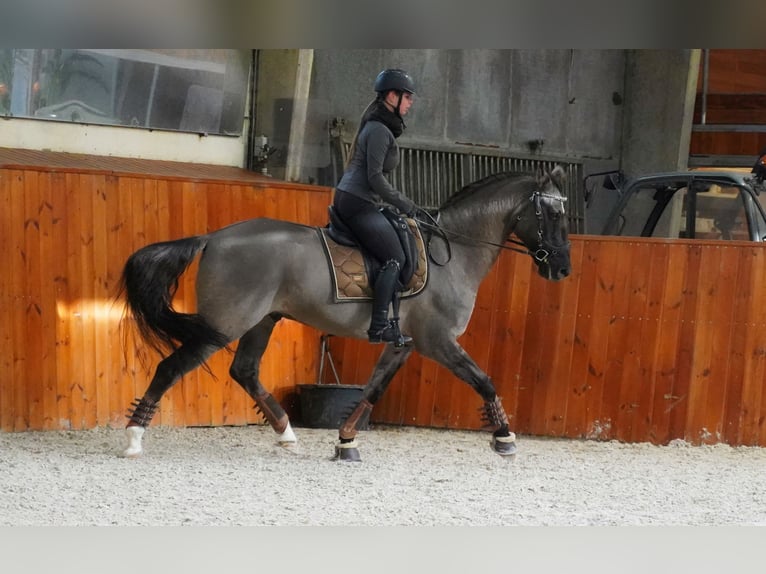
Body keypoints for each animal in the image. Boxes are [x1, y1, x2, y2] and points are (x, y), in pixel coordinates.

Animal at [120, 164, 572, 462]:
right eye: (553, 214)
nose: (563, 268)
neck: (455, 253)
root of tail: (213, 237)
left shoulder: (404, 343)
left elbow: (373, 389)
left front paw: (346, 441)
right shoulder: (438, 341)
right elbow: (484, 380)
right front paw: (504, 437)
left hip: (262, 321)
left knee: (244, 371)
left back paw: (286, 433)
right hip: (225, 324)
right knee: (170, 367)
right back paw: (133, 438)